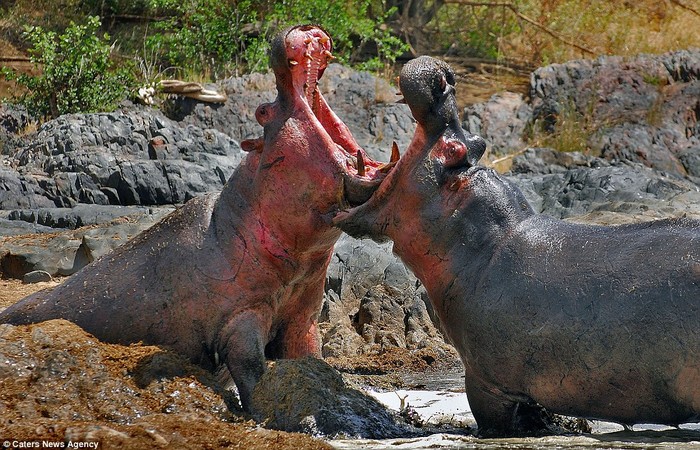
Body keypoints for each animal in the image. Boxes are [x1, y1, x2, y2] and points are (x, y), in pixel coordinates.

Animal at [0, 25, 388, 412]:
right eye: (263, 111)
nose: (303, 29)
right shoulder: (240, 321)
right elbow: (251, 372)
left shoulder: (301, 318)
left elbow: (310, 359)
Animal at [336, 56, 696, 436]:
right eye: (478, 144)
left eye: (455, 150)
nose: (445, 80)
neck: (483, 247)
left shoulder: (485, 382)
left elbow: (493, 420)